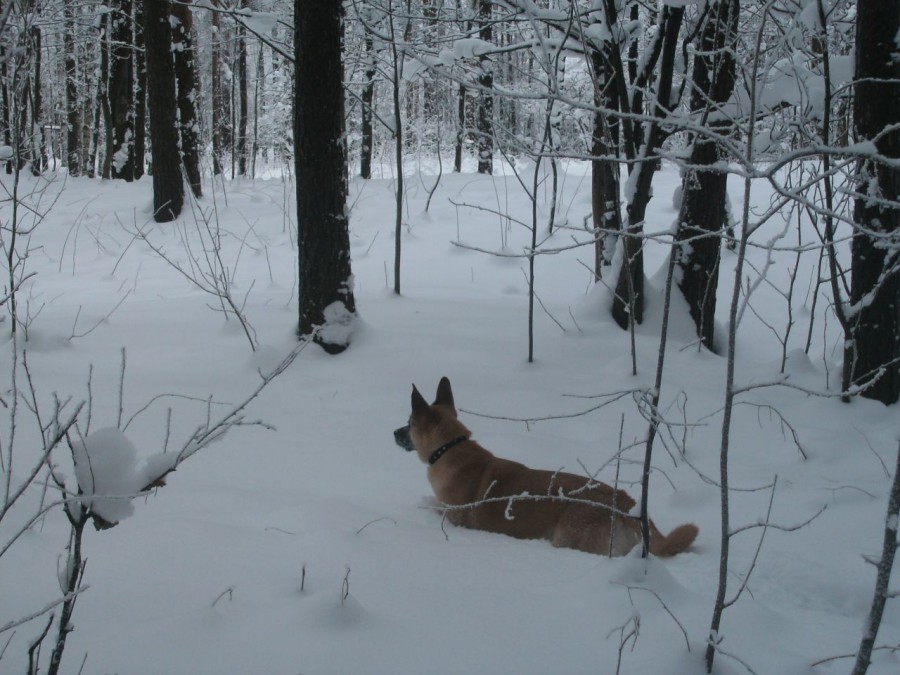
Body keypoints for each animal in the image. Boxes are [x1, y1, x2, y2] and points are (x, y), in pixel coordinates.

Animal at [398, 378, 700, 556]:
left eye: (409, 424)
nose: (393, 433)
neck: (449, 448)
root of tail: (625, 502)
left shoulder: (454, 518)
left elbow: (433, 508)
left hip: (567, 537)